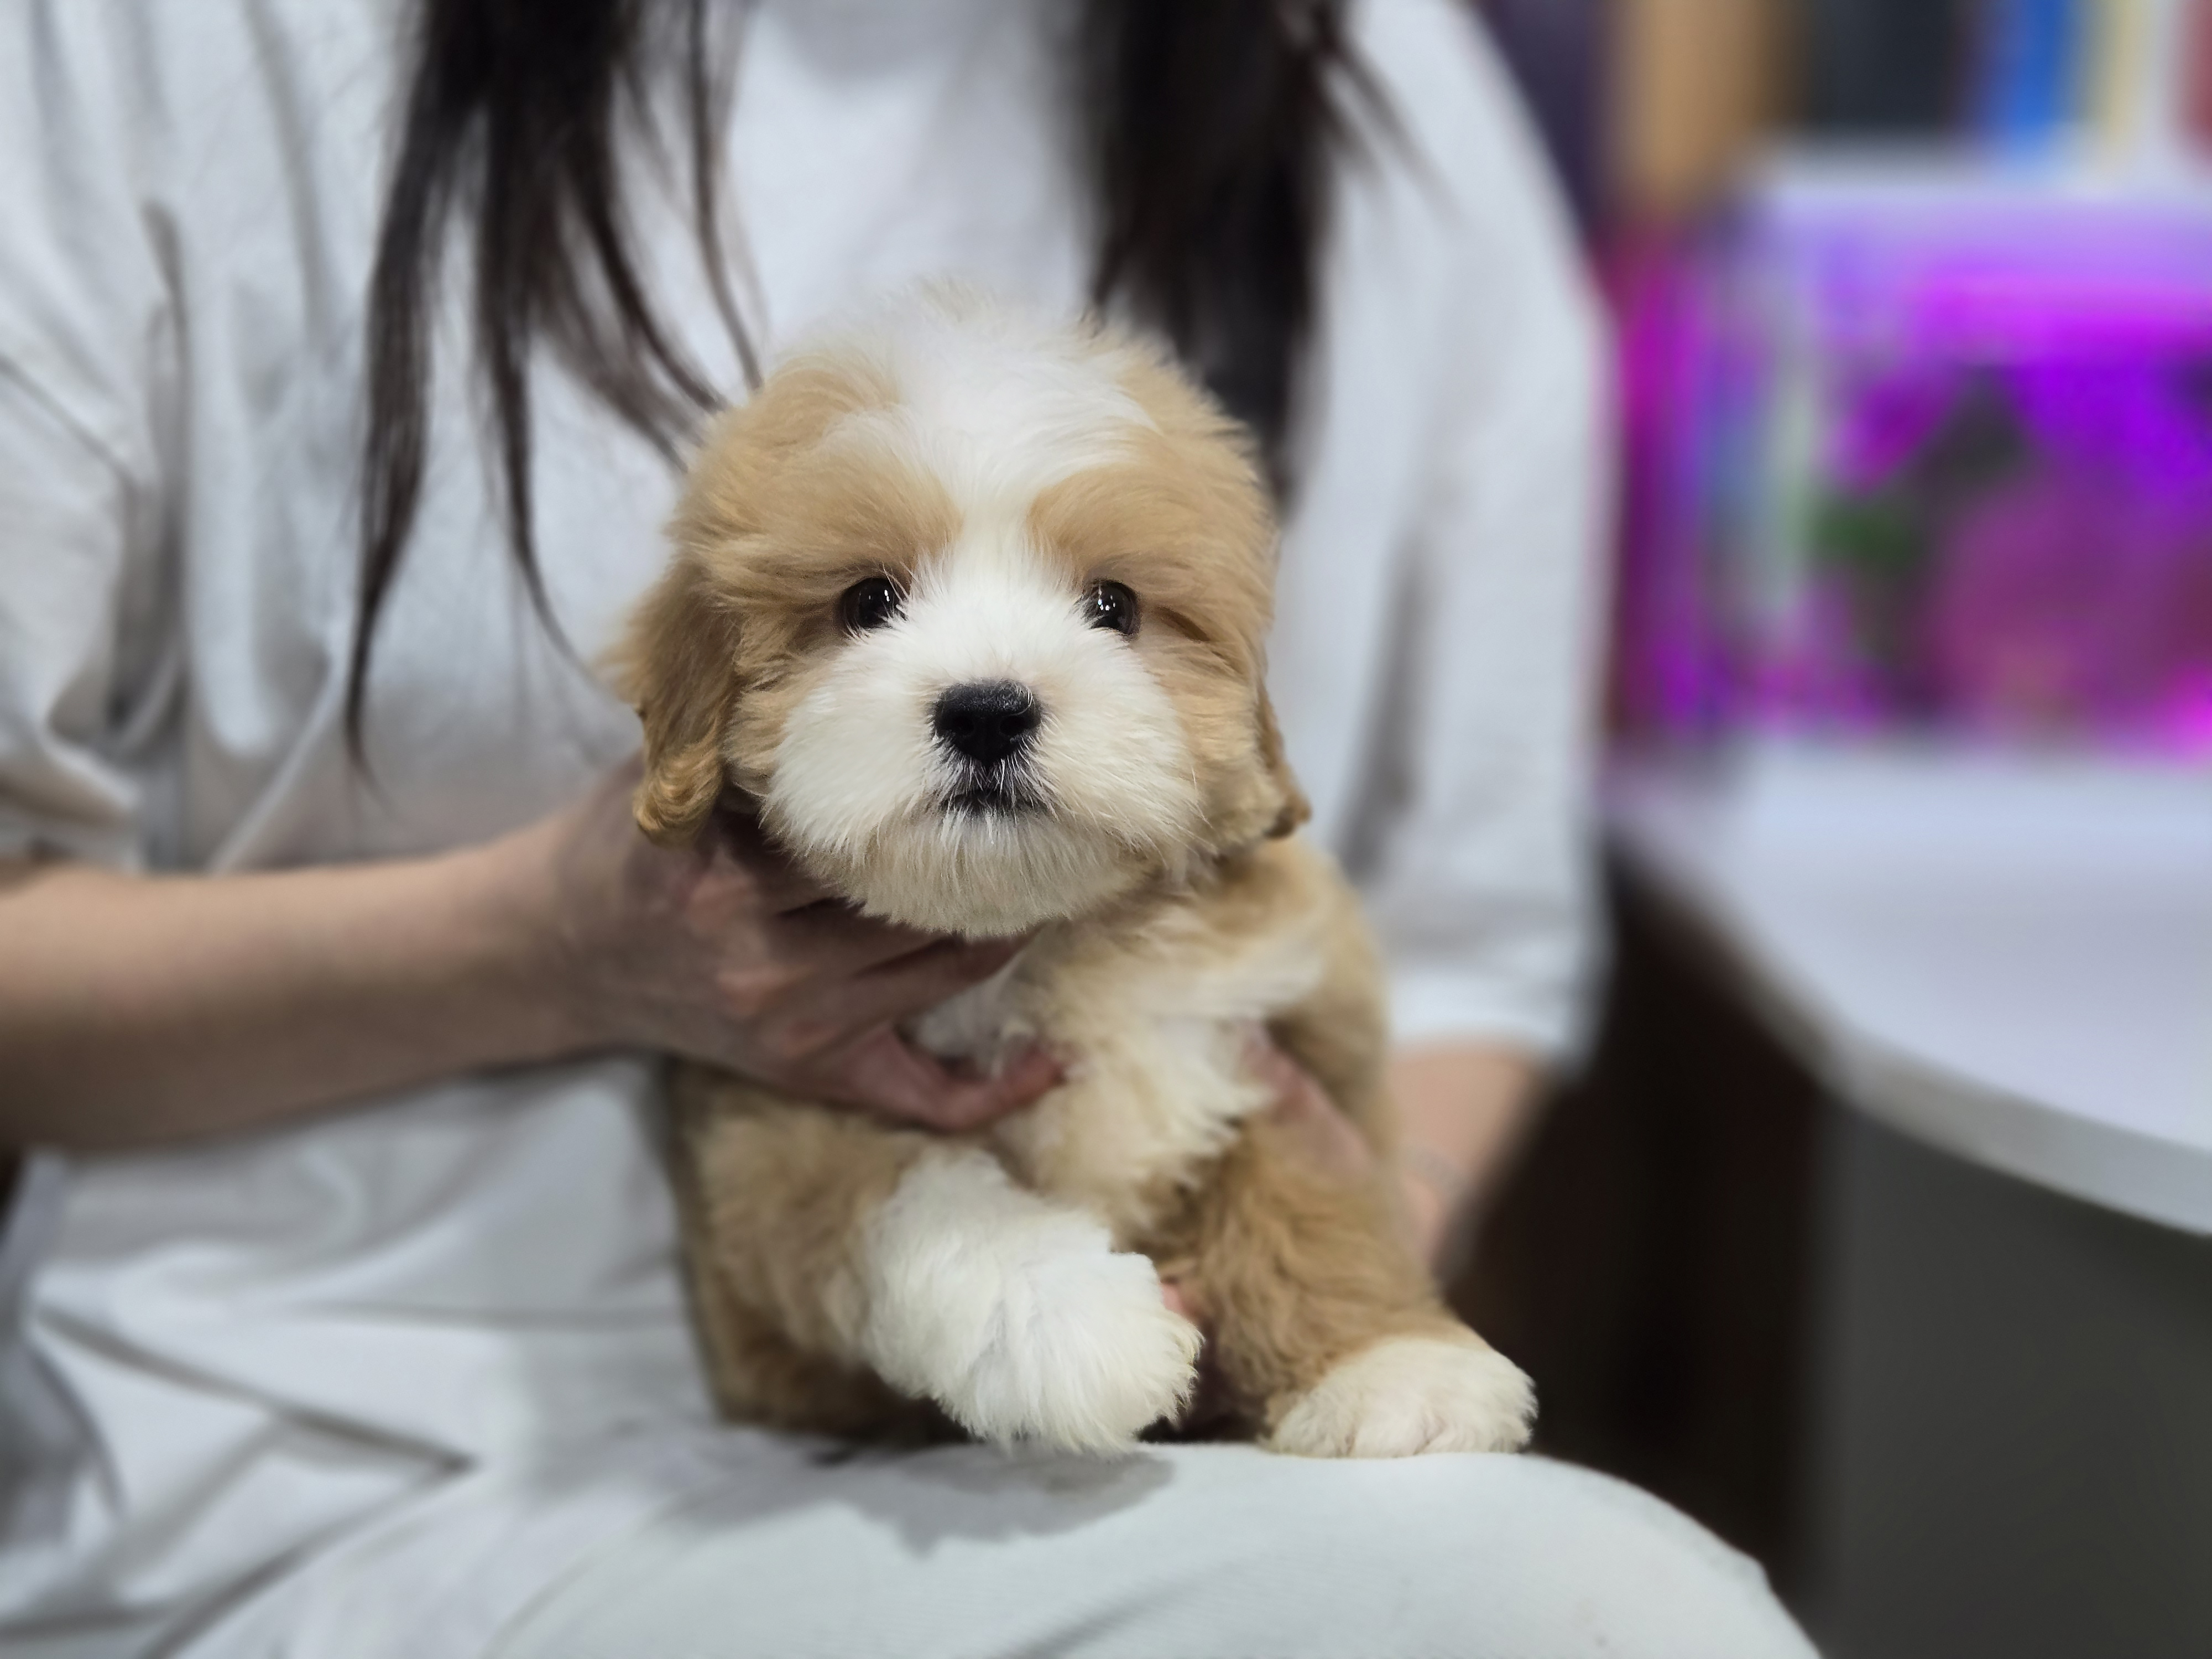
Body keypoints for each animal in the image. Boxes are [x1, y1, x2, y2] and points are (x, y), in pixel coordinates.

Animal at [618, 290, 1535, 1457]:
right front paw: (1074, 1326)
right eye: (869, 601)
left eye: (1113, 607)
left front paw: (1390, 1365)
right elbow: (920, 1199)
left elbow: (1303, 1181)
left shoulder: (1275, 1038)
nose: (987, 711)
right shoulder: (771, 1133)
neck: (1048, 940)